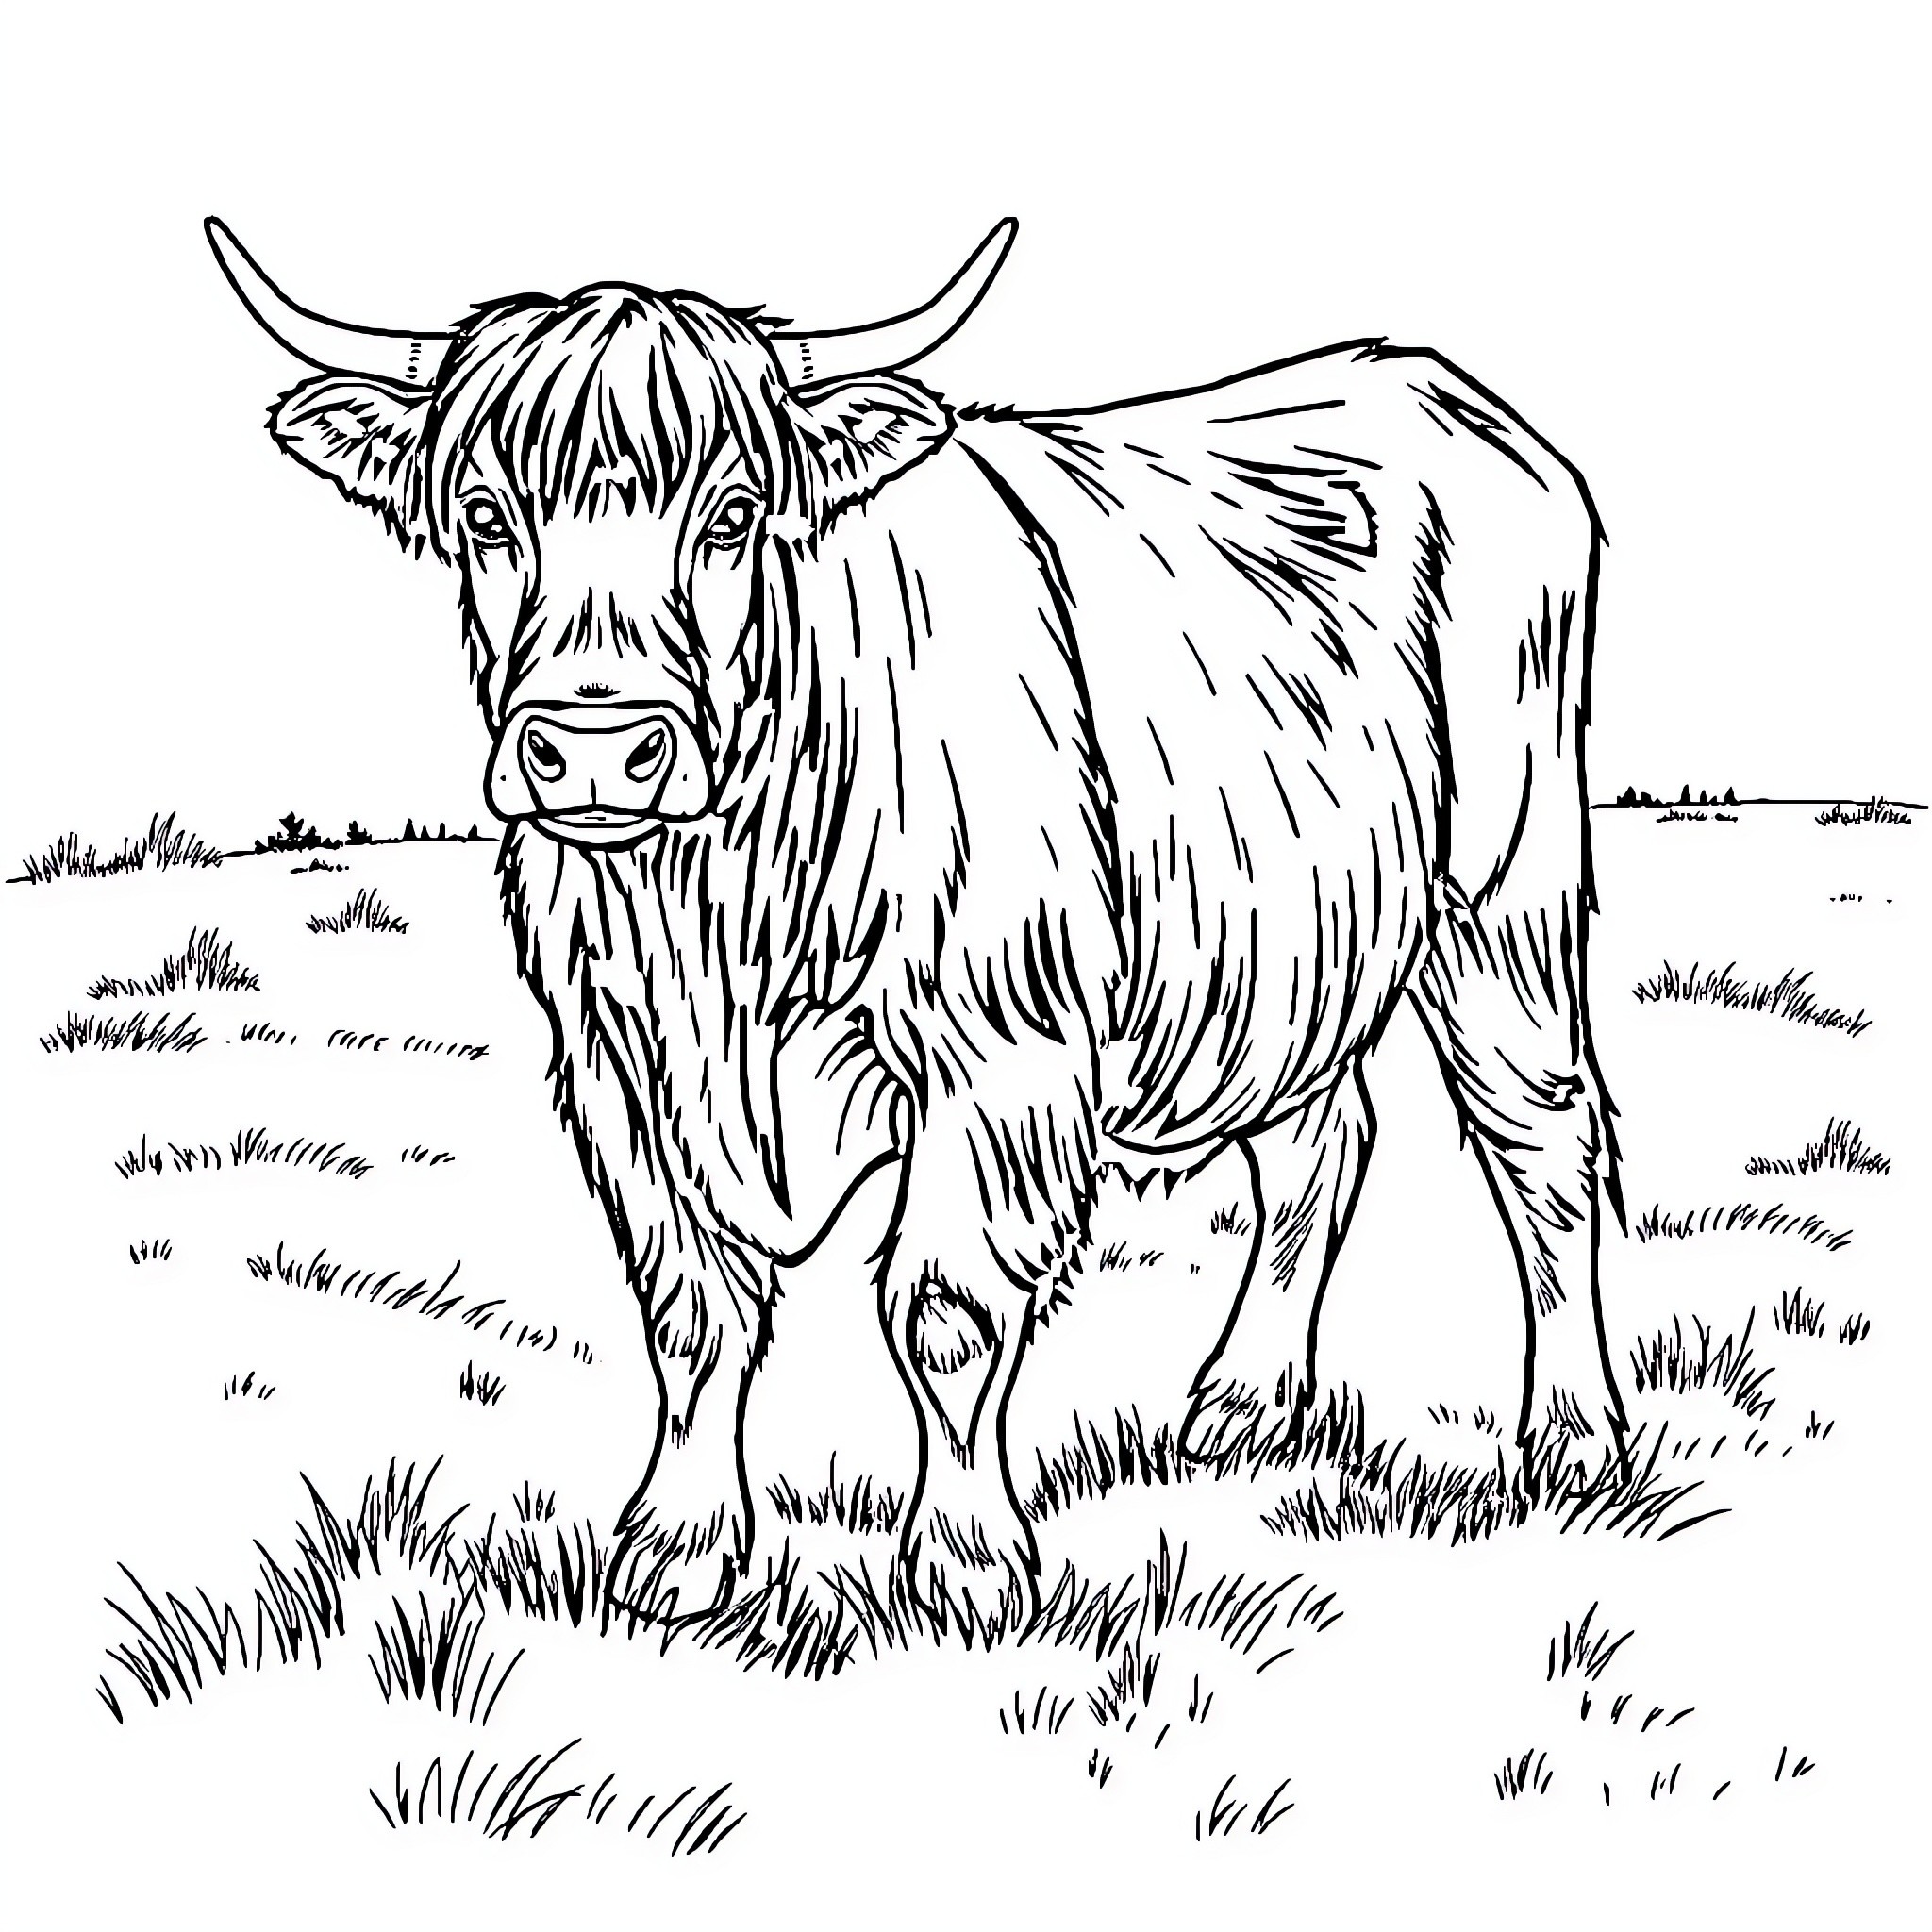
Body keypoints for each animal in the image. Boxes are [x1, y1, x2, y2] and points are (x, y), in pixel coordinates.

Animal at [209, 216, 1627, 1637]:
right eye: (485, 515)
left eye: (734, 512)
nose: (598, 749)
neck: (723, 915)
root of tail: (1426, 383)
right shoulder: (625, 1067)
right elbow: (691, 1316)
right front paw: (676, 1552)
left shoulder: (1000, 1053)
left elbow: (945, 1309)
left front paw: (963, 1563)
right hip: (1290, 936)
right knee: (1316, 1144)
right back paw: (1239, 1403)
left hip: (1502, 890)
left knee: (1540, 1134)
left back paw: (1570, 1434)